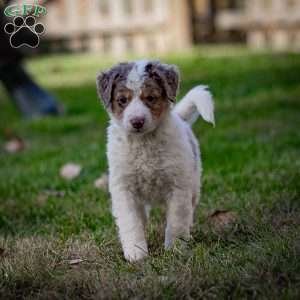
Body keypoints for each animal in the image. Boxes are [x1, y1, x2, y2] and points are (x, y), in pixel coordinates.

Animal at [96, 61, 213, 262]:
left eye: (150, 98)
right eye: (122, 100)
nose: (137, 121)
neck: (144, 143)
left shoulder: (178, 186)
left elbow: (176, 220)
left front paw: (175, 248)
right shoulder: (123, 188)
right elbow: (130, 221)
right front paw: (136, 252)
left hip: (194, 184)